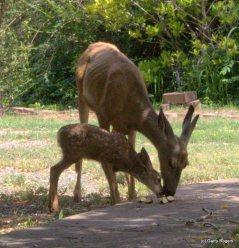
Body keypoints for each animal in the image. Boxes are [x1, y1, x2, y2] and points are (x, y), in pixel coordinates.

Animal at [74, 42, 199, 202]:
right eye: (171, 162)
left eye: (186, 163)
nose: (170, 191)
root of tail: (90, 46)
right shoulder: (103, 116)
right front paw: (115, 199)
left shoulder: (130, 127)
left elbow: (131, 154)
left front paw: (132, 195)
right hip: (81, 97)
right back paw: (77, 194)